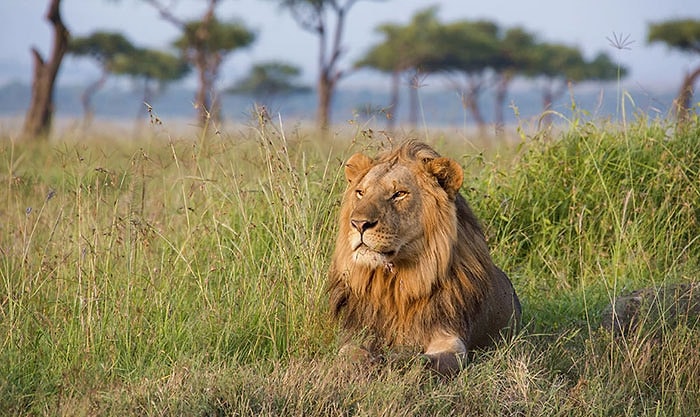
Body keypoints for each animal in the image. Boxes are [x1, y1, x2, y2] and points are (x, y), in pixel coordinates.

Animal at [328, 140, 520, 374]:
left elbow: (422, 361)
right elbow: (349, 355)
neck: (396, 285)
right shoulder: (355, 334)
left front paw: (394, 360)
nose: (358, 223)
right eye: (360, 193)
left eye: (399, 194)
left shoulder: (451, 339)